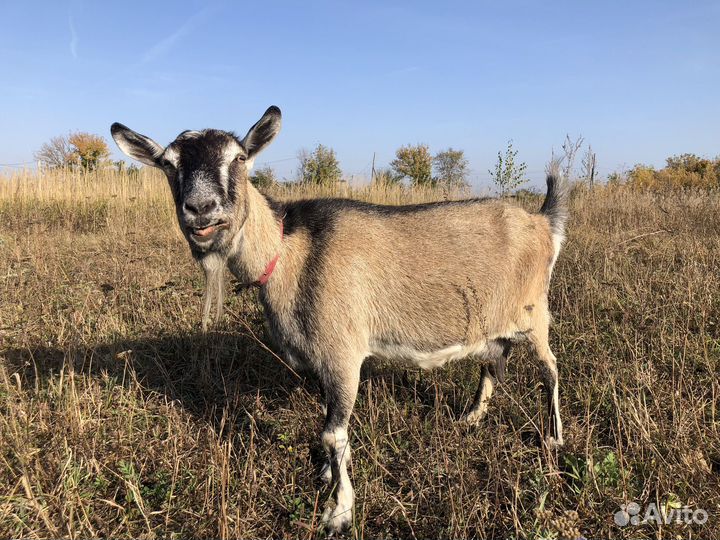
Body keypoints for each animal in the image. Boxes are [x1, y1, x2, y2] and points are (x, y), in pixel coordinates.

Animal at [111, 106, 567, 533]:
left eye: (239, 157)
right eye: (168, 164)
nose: (202, 210)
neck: (290, 251)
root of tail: (543, 222)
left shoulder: (343, 354)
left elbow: (334, 432)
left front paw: (339, 511)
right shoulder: (322, 361)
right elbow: (330, 425)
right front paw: (327, 473)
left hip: (535, 312)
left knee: (550, 368)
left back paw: (553, 438)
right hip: (495, 320)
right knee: (494, 362)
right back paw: (471, 417)